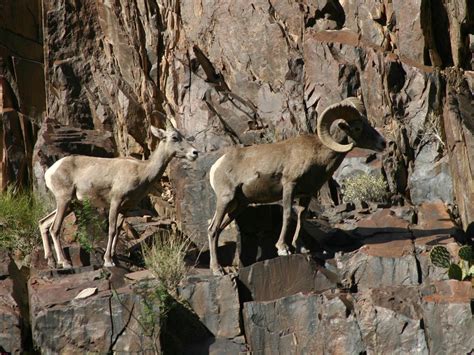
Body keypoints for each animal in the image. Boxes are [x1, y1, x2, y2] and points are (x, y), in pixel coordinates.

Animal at [38, 126, 198, 268]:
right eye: (174, 137)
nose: (195, 152)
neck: (142, 172)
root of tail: (51, 171)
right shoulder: (115, 202)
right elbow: (112, 230)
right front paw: (108, 261)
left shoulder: (125, 208)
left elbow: (119, 231)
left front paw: (115, 259)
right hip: (64, 200)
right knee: (54, 228)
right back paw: (64, 263)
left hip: (70, 204)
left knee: (43, 223)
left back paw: (51, 262)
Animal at [207, 97, 386, 276]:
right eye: (357, 128)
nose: (383, 143)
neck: (318, 155)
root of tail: (217, 166)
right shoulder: (289, 186)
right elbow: (287, 215)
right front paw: (283, 249)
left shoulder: (306, 194)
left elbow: (301, 217)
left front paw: (300, 248)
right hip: (226, 199)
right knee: (213, 229)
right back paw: (217, 270)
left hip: (239, 205)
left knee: (218, 230)